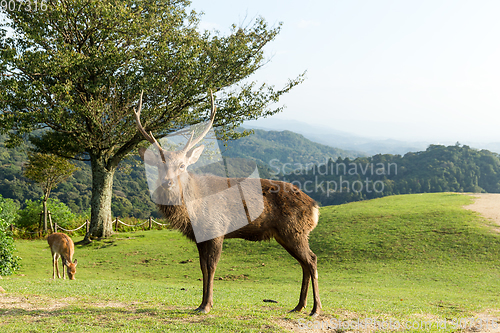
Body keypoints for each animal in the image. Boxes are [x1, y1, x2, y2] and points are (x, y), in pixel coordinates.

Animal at [134, 91, 320, 314]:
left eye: (182, 165)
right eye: (160, 166)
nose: (167, 182)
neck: (194, 210)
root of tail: (315, 207)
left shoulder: (217, 229)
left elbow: (211, 267)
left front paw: (207, 305)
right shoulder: (200, 237)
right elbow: (202, 268)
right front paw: (201, 304)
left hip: (294, 230)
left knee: (312, 260)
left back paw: (315, 309)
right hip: (286, 234)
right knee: (304, 263)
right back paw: (299, 306)